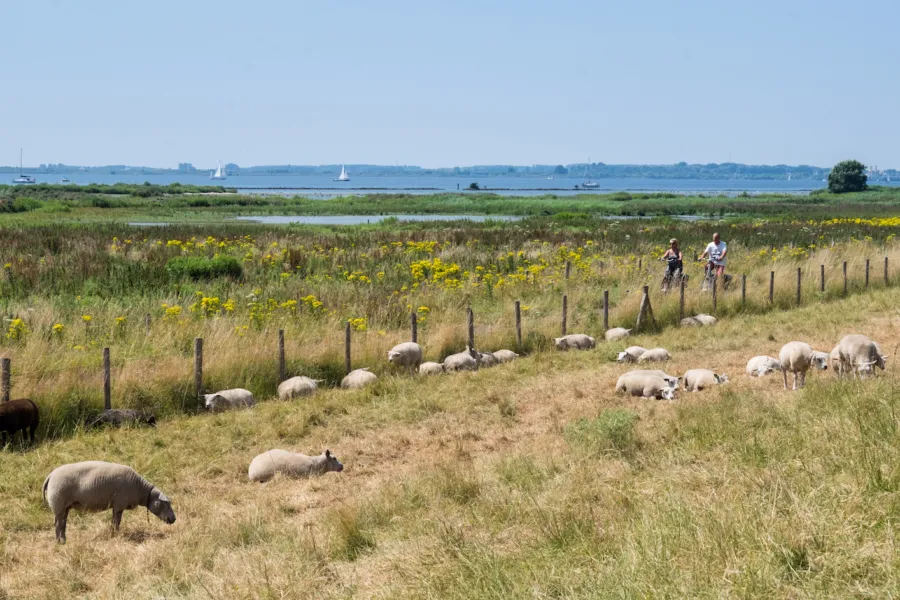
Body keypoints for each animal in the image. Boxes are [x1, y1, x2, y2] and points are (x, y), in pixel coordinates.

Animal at [42, 460, 176, 544]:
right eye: (166, 504)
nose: (173, 519)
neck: (140, 489)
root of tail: (50, 476)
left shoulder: (116, 506)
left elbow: (113, 522)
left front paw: (112, 534)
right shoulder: (119, 505)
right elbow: (117, 522)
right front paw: (116, 534)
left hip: (65, 507)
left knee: (62, 524)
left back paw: (63, 540)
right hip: (59, 504)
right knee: (58, 525)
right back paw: (60, 543)